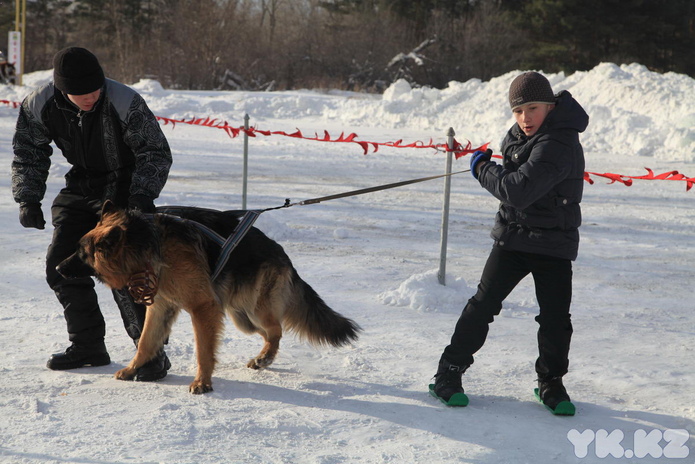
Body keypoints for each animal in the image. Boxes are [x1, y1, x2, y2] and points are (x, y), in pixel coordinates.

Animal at [57, 201, 362, 394]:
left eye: (82, 254)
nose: (58, 268)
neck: (149, 244)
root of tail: (283, 255)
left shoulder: (202, 308)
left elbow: (203, 350)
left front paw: (202, 382)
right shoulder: (161, 308)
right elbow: (145, 342)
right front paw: (133, 369)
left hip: (255, 310)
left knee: (276, 329)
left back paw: (264, 358)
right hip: (243, 318)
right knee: (269, 332)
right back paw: (261, 358)